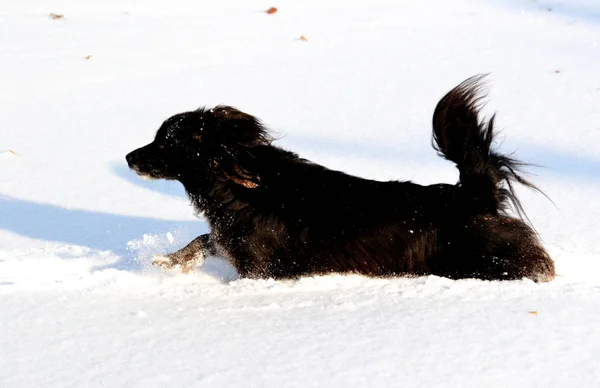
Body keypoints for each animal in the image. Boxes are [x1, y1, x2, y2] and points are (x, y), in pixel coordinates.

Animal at [127, 76, 556, 282]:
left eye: (165, 142)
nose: (129, 157)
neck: (241, 185)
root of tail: (473, 195)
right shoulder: (231, 241)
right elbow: (204, 240)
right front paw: (168, 261)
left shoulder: (260, 267)